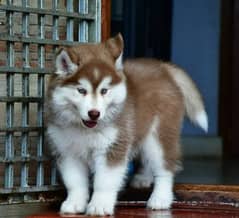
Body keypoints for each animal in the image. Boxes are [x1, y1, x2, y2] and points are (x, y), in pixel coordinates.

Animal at [44, 33, 207, 215]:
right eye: (81, 91)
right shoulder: (67, 151)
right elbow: (75, 182)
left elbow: (104, 181)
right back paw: (143, 178)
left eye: (104, 91)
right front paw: (74, 203)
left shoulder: (113, 147)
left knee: (165, 168)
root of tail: (162, 68)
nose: (94, 113)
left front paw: (99, 205)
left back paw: (160, 199)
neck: (84, 130)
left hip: (159, 136)